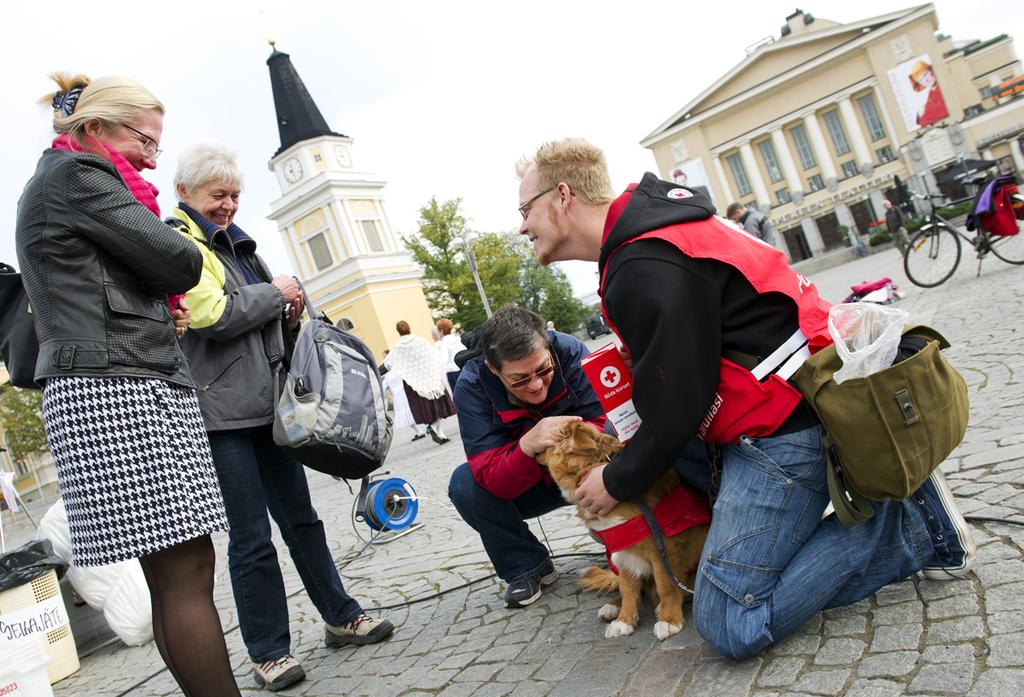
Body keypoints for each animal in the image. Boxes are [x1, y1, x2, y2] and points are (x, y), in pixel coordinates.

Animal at [540, 415, 708, 638]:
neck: (589, 468)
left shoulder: (663, 548)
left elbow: (666, 585)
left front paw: (669, 619)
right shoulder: (621, 549)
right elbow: (627, 589)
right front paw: (624, 621)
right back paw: (613, 606)